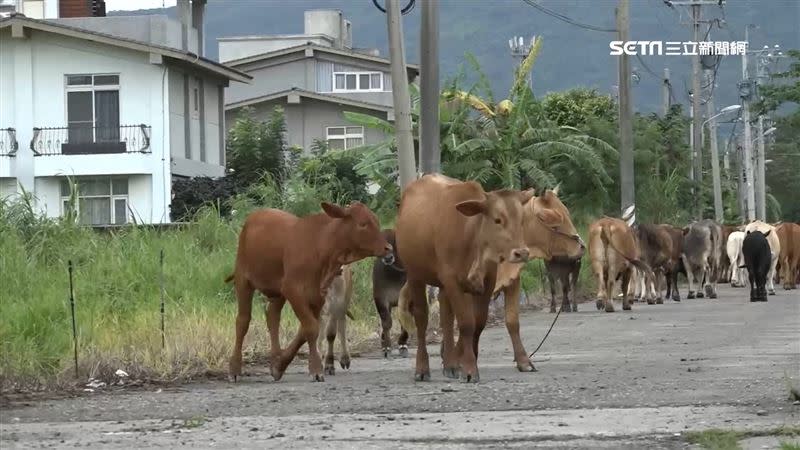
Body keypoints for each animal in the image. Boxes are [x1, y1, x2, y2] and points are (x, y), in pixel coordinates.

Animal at [225, 202, 390, 382]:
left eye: (377, 222)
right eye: (363, 224)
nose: (388, 248)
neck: (320, 246)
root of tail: (256, 215)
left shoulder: (318, 296)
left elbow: (307, 330)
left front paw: (280, 365)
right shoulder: (293, 290)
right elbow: (311, 328)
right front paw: (316, 368)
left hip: (278, 292)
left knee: (273, 317)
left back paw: (275, 358)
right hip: (243, 280)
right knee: (242, 321)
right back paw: (235, 369)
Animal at [394, 173, 532, 384]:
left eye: (522, 220)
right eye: (497, 220)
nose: (521, 253)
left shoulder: (487, 282)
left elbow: (478, 322)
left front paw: (466, 360)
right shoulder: (453, 281)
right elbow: (466, 323)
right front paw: (469, 368)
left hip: (443, 286)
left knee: (446, 319)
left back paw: (450, 364)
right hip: (415, 275)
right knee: (422, 319)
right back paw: (422, 368)